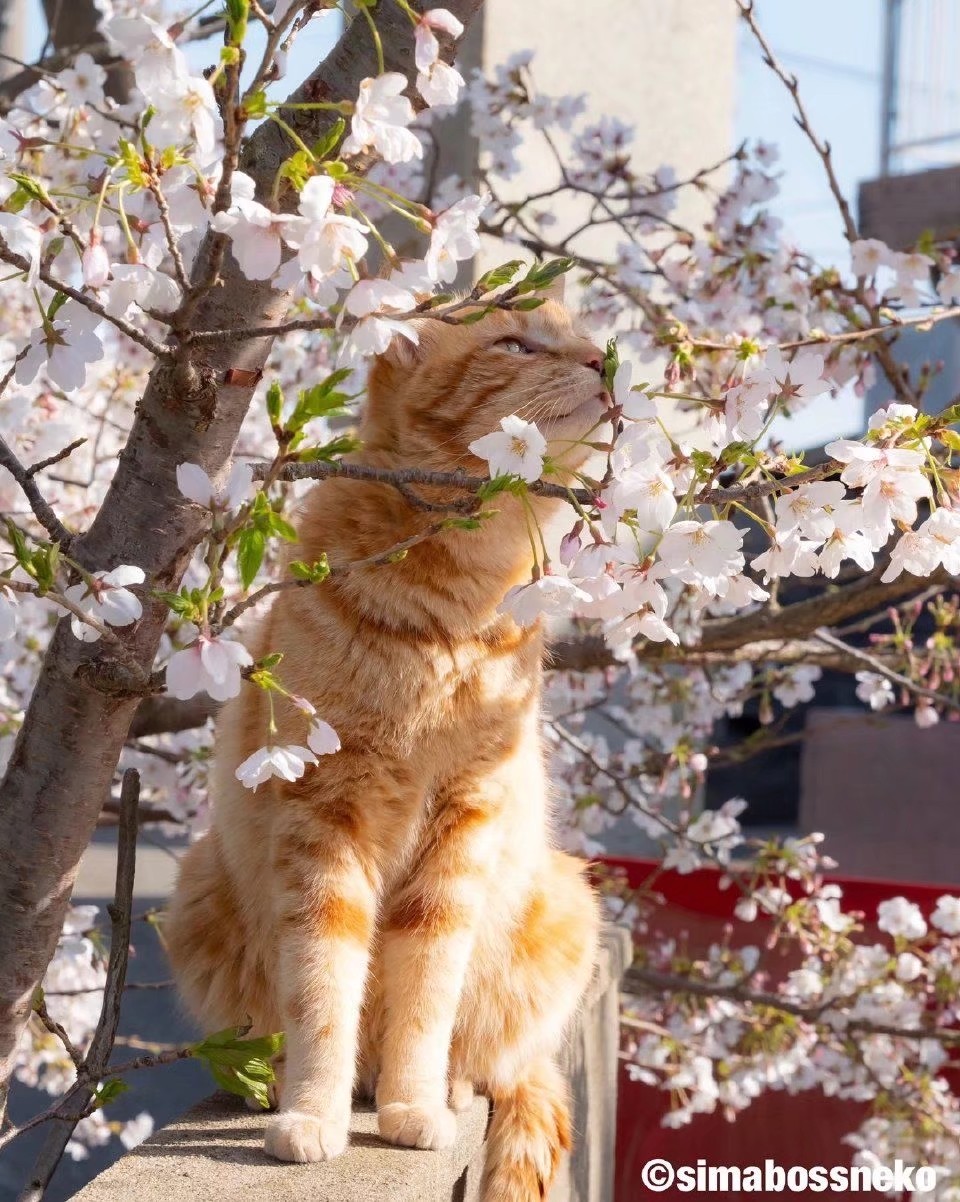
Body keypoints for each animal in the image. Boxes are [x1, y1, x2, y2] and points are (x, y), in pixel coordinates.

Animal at [163, 293, 600, 1202]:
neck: (456, 598)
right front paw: (312, 1113)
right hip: (197, 890)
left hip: (565, 906)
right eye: (516, 343)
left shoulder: (461, 826)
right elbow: (324, 983)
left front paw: (413, 1106)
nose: (603, 362)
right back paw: (273, 1083)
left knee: (489, 1056)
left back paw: (448, 1088)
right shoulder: (324, 817)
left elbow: (426, 994)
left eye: (587, 339)